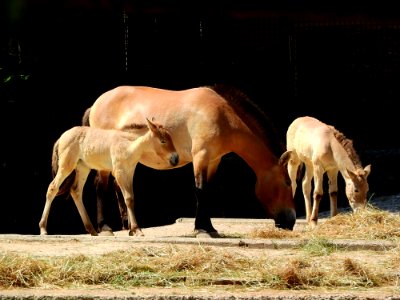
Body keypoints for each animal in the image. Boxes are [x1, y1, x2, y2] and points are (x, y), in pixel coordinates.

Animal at [38, 118, 179, 236]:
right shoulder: (119, 172)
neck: (128, 145)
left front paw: (131, 230)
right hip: (66, 166)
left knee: (76, 191)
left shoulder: (129, 173)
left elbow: (131, 198)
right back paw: (43, 229)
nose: (175, 159)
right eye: (163, 140)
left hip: (83, 169)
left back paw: (92, 230)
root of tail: (61, 137)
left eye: (171, 138)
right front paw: (136, 230)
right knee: (52, 188)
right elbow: (128, 198)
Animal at [84, 84, 296, 237]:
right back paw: (105, 228)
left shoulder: (214, 160)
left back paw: (128, 226)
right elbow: (200, 190)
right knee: (100, 186)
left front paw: (209, 228)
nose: (291, 220)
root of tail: (95, 105)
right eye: (287, 182)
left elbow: (207, 190)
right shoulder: (201, 156)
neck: (222, 115)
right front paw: (201, 229)